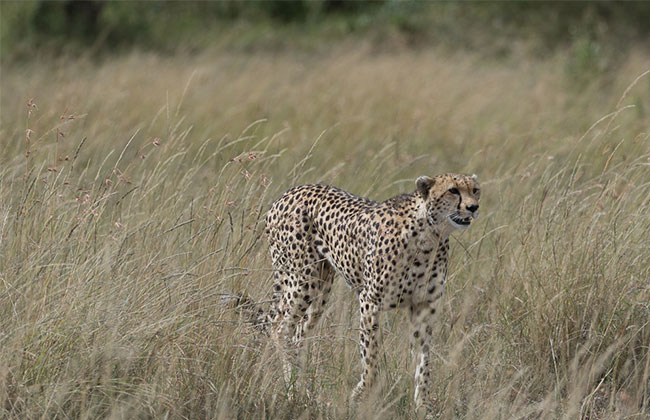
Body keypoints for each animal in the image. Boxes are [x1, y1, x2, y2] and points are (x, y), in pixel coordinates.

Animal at [260, 171, 478, 414]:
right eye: (453, 190)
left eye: (475, 190)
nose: (473, 207)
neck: (430, 234)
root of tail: (289, 193)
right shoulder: (370, 299)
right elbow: (370, 356)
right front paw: (359, 395)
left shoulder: (424, 306)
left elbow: (424, 361)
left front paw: (422, 407)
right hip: (303, 280)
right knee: (279, 328)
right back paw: (291, 391)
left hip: (320, 289)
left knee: (298, 335)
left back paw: (301, 390)